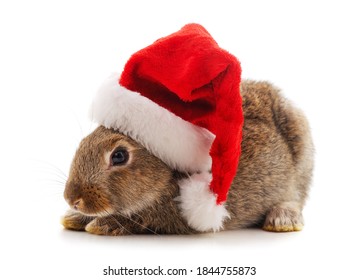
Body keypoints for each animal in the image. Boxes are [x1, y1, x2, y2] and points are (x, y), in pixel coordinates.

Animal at [62, 80, 316, 235]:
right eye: (83, 142)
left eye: (119, 156)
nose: (72, 199)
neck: (165, 176)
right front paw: (73, 217)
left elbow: (139, 220)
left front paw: (99, 225)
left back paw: (282, 219)